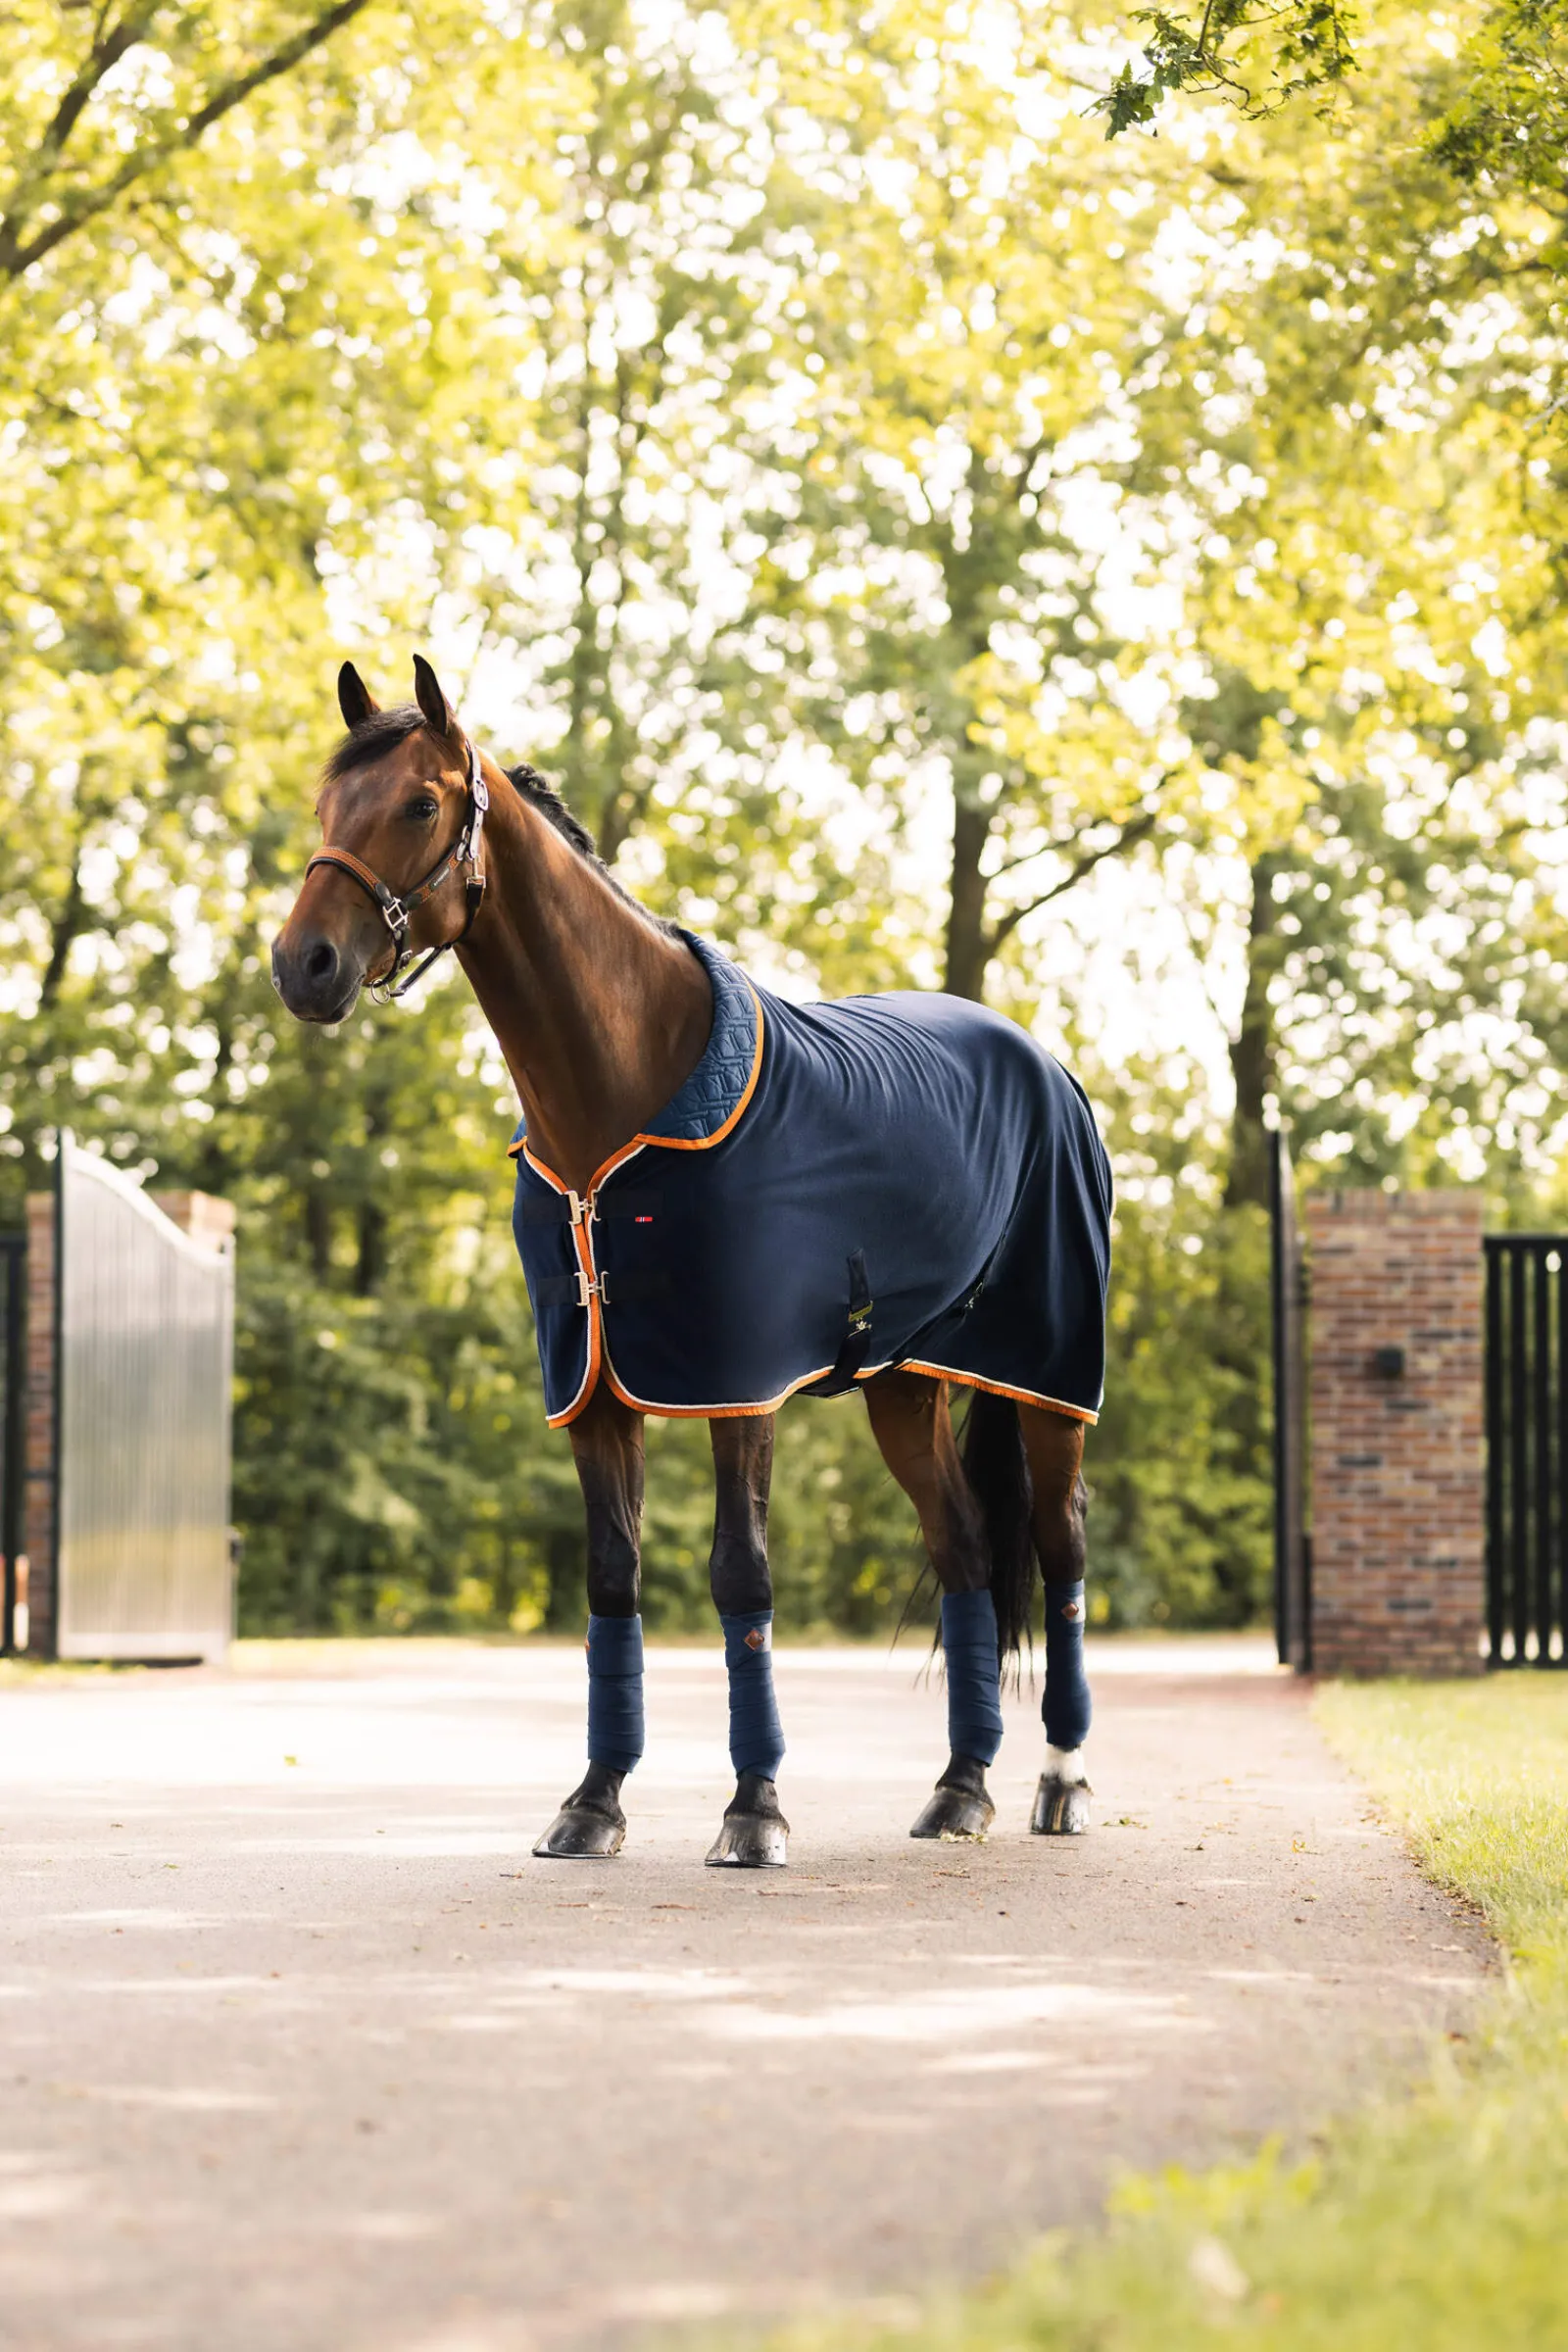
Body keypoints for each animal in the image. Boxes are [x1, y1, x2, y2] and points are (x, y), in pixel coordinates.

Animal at [271, 656, 1111, 1868]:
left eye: (421, 804)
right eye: (326, 807)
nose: (305, 965)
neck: (623, 1098)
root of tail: (1046, 1065)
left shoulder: (737, 1385)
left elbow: (739, 1573)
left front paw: (753, 1810)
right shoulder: (592, 1390)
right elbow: (610, 1579)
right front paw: (592, 1802)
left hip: (1048, 1380)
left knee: (1060, 1549)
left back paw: (1060, 1783)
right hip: (904, 1385)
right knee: (961, 1552)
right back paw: (959, 1789)